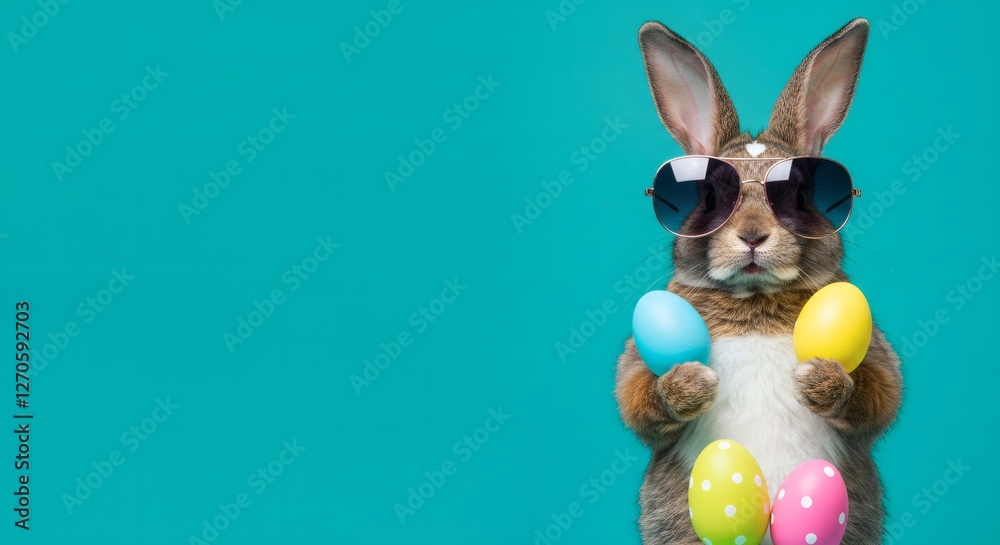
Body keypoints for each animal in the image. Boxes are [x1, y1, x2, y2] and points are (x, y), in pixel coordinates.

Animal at [614, 18, 903, 545]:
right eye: (708, 197)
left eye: (800, 195)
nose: (752, 236)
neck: (755, 297)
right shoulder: (634, 371)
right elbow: (637, 399)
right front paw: (691, 383)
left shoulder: (878, 359)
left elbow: (881, 395)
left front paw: (821, 380)